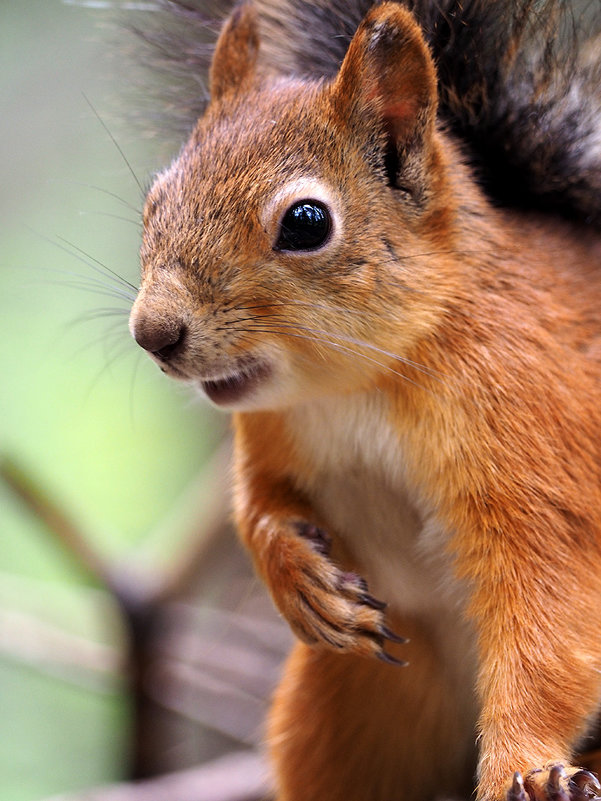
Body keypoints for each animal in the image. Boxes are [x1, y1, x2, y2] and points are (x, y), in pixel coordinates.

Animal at [129, 1, 600, 800]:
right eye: (153, 202)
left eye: (306, 222)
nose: (152, 333)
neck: (357, 388)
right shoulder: (271, 437)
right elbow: (257, 506)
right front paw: (295, 577)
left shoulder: (538, 458)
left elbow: (546, 621)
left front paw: (526, 766)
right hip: (348, 708)